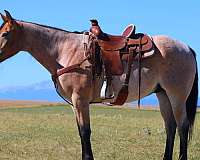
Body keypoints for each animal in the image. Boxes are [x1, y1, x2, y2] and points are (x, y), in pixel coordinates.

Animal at [0, 10, 197, 159]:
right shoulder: (75, 104)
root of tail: (186, 48)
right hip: (163, 95)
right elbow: (81, 132)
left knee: (182, 126)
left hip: (177, 96)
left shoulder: (80, 100)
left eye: (5, 33)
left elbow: (85, 132)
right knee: (170, 127)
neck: (65, 51)